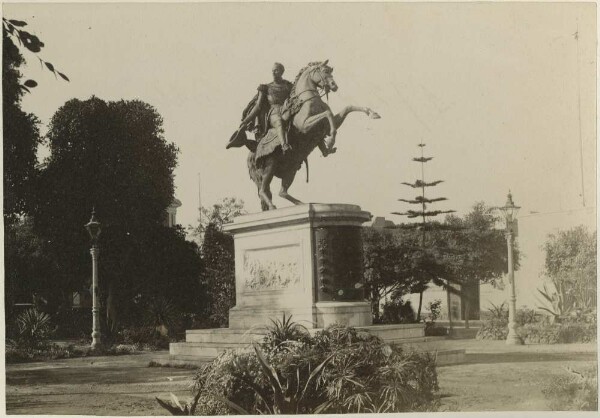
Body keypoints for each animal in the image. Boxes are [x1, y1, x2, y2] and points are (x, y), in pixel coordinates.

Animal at [247, 60, 380, 211]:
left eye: (330, 71)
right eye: (325, 71)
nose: (334, 86)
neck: (307, 100)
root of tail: (252, 153)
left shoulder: (326, 124)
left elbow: (347, 108)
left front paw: (372, 113)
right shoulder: (305, 125)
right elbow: (327, 115)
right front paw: (331, 140)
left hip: (291, 168)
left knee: (282, 192)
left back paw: (302, 204)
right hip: (270, 166)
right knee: (263, 190)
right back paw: (273, 206)